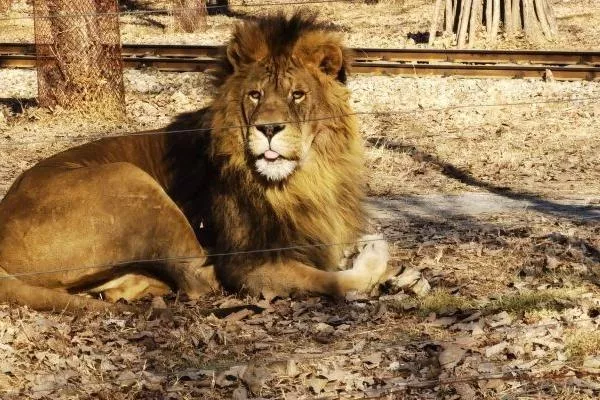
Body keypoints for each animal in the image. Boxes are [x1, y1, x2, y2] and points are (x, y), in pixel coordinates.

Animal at [0, 11, 390, 312]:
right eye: (255, 95)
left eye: (298, 95)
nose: (268, 129)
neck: (305, 181)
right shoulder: (250, 262)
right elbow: (330, 279)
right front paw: (379, 257)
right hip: (129, 180)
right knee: (198, 279)